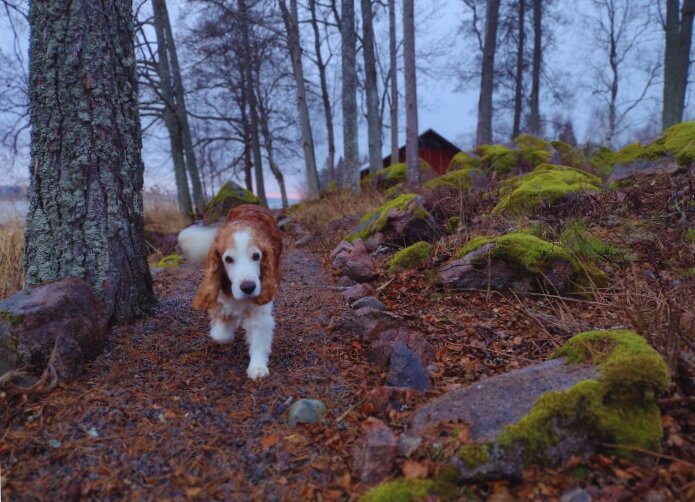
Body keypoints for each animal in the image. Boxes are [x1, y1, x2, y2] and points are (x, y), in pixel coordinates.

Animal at [178, 206, 284, 378]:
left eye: (256, 256)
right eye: (228, 259)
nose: (248, 287)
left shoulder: (260, 310)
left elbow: (258, 339)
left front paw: (257, 367)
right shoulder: (220, 297)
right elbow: (221, 334)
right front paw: (229, 324)